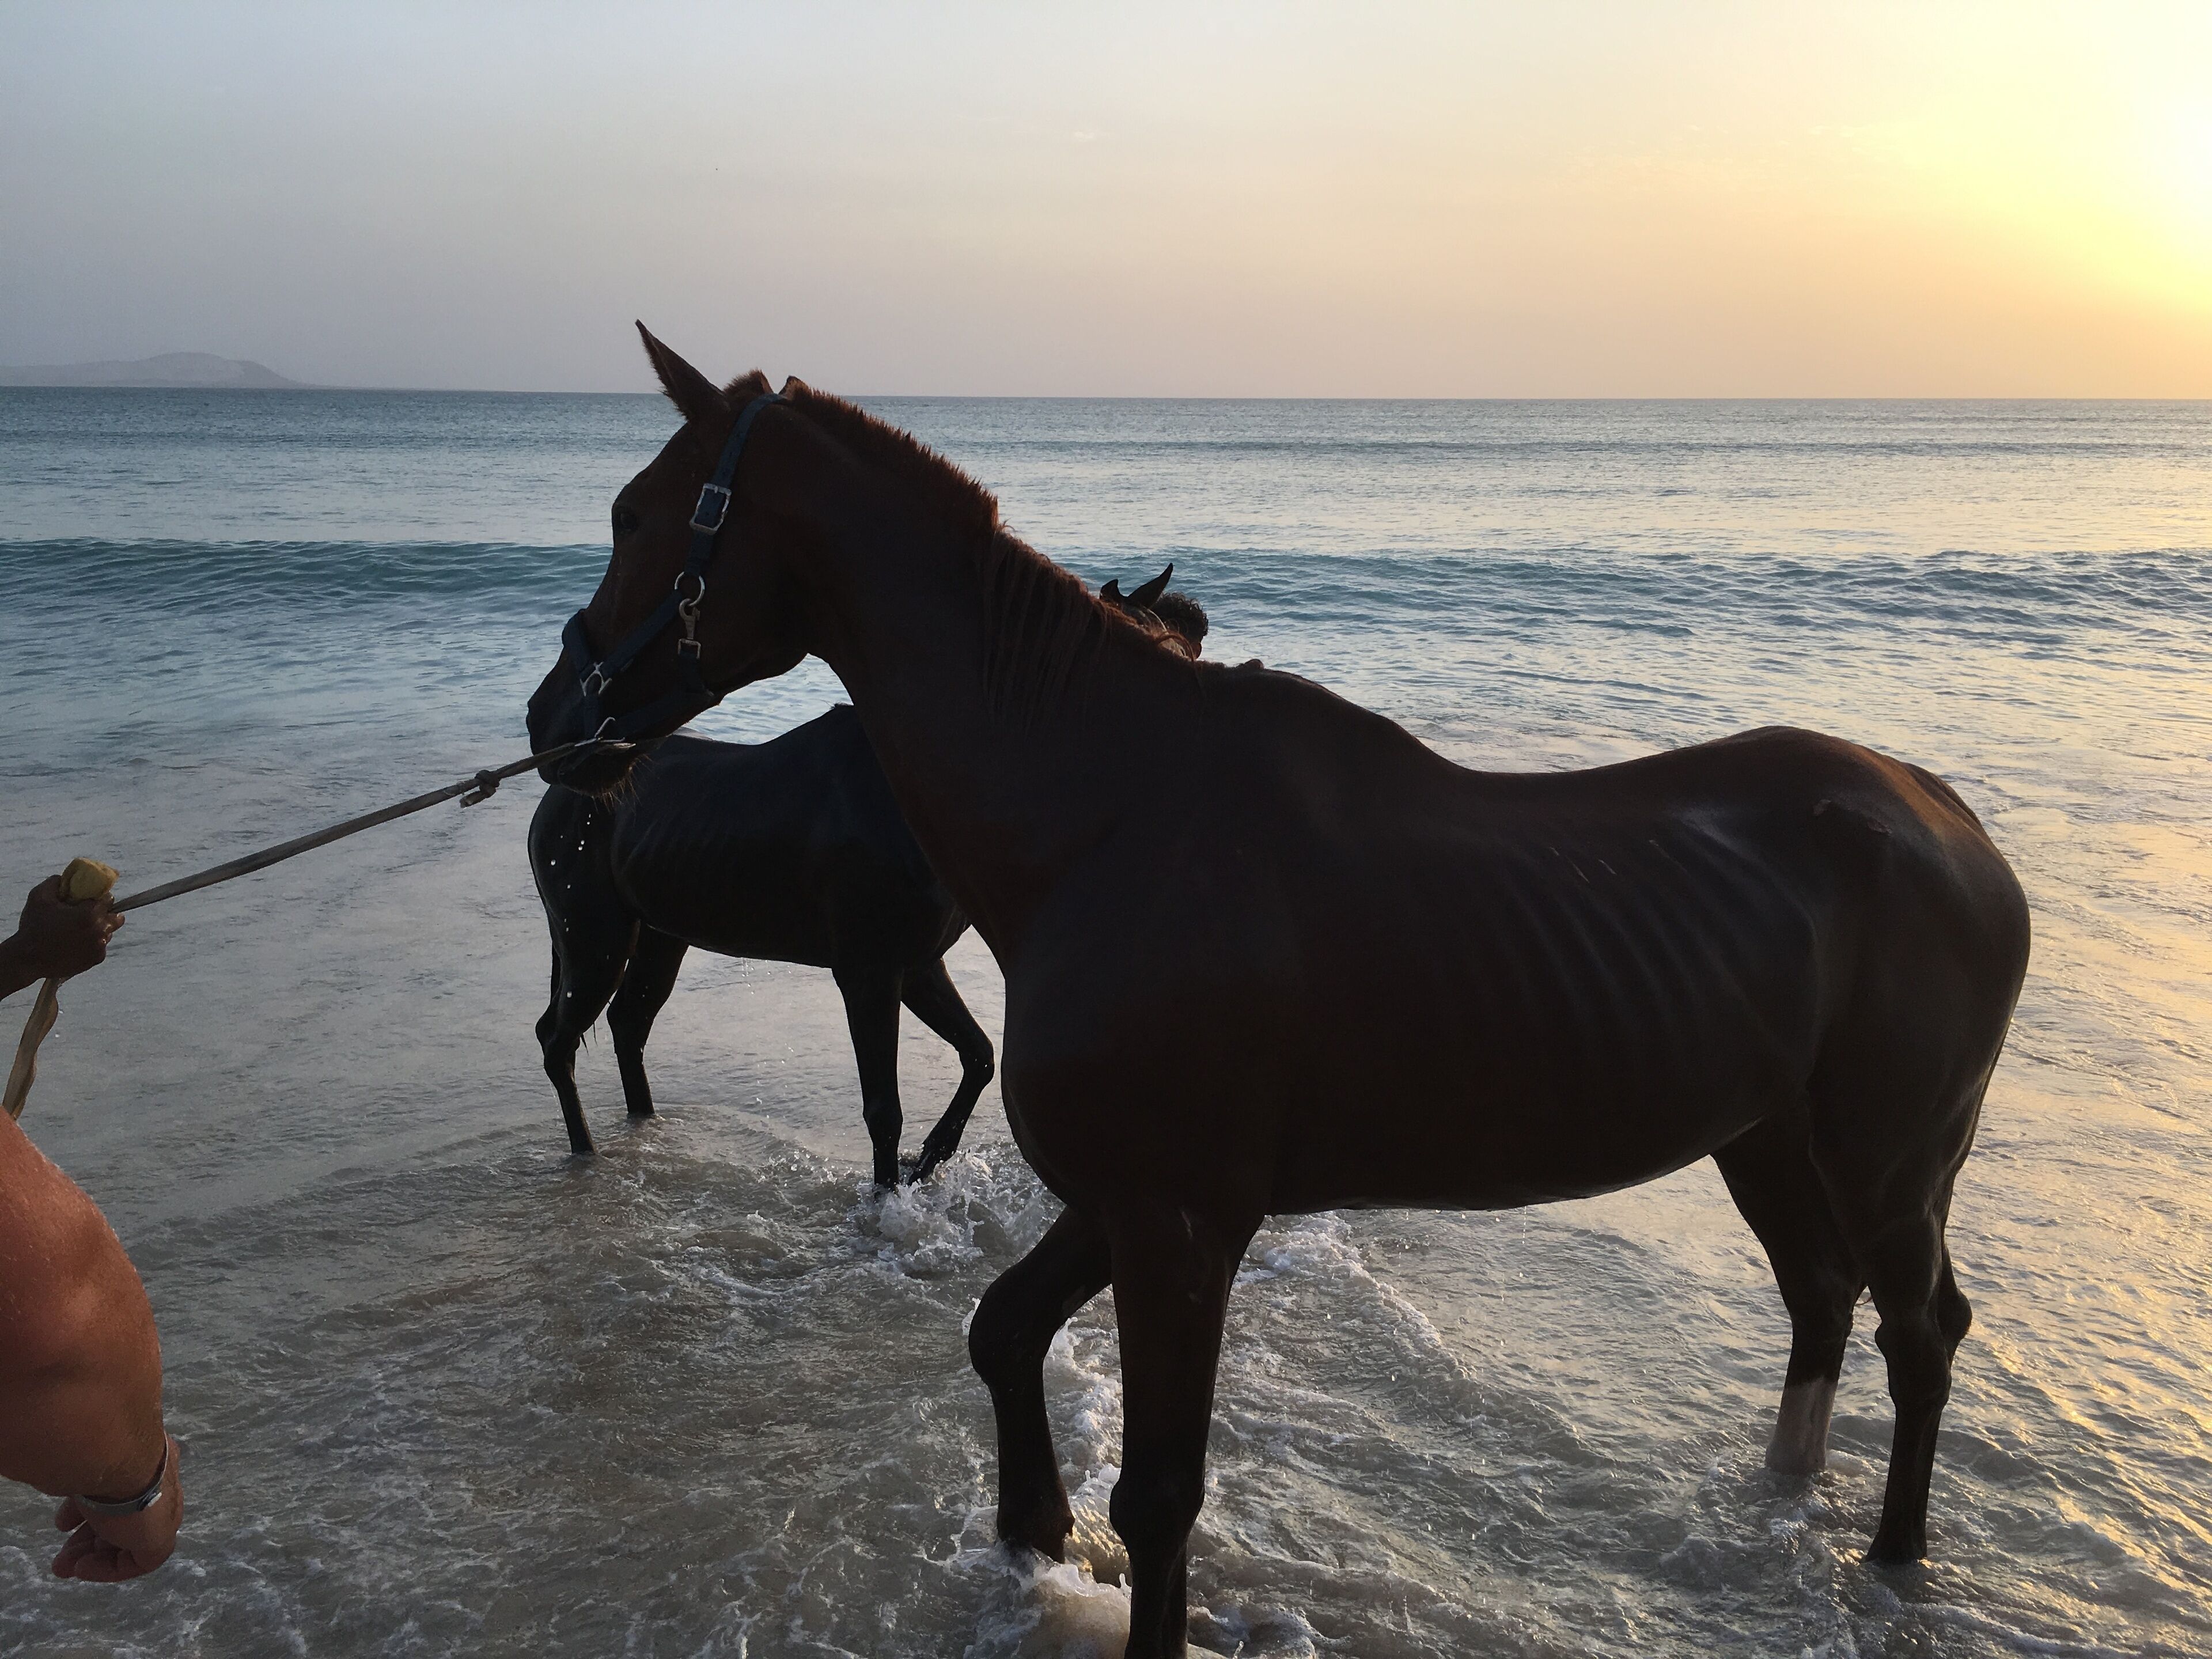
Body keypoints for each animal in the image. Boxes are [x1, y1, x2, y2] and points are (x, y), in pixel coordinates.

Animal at [527, 573, 1202, 1180]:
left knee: (628, 1024)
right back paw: (587, 1155)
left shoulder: (916, 964)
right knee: (558, 1041)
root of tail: (560, 792)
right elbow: (885, 1111)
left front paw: (932, 1157)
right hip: (594, 941)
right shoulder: (868, 973)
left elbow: (979, 1056)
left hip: (661, 935)